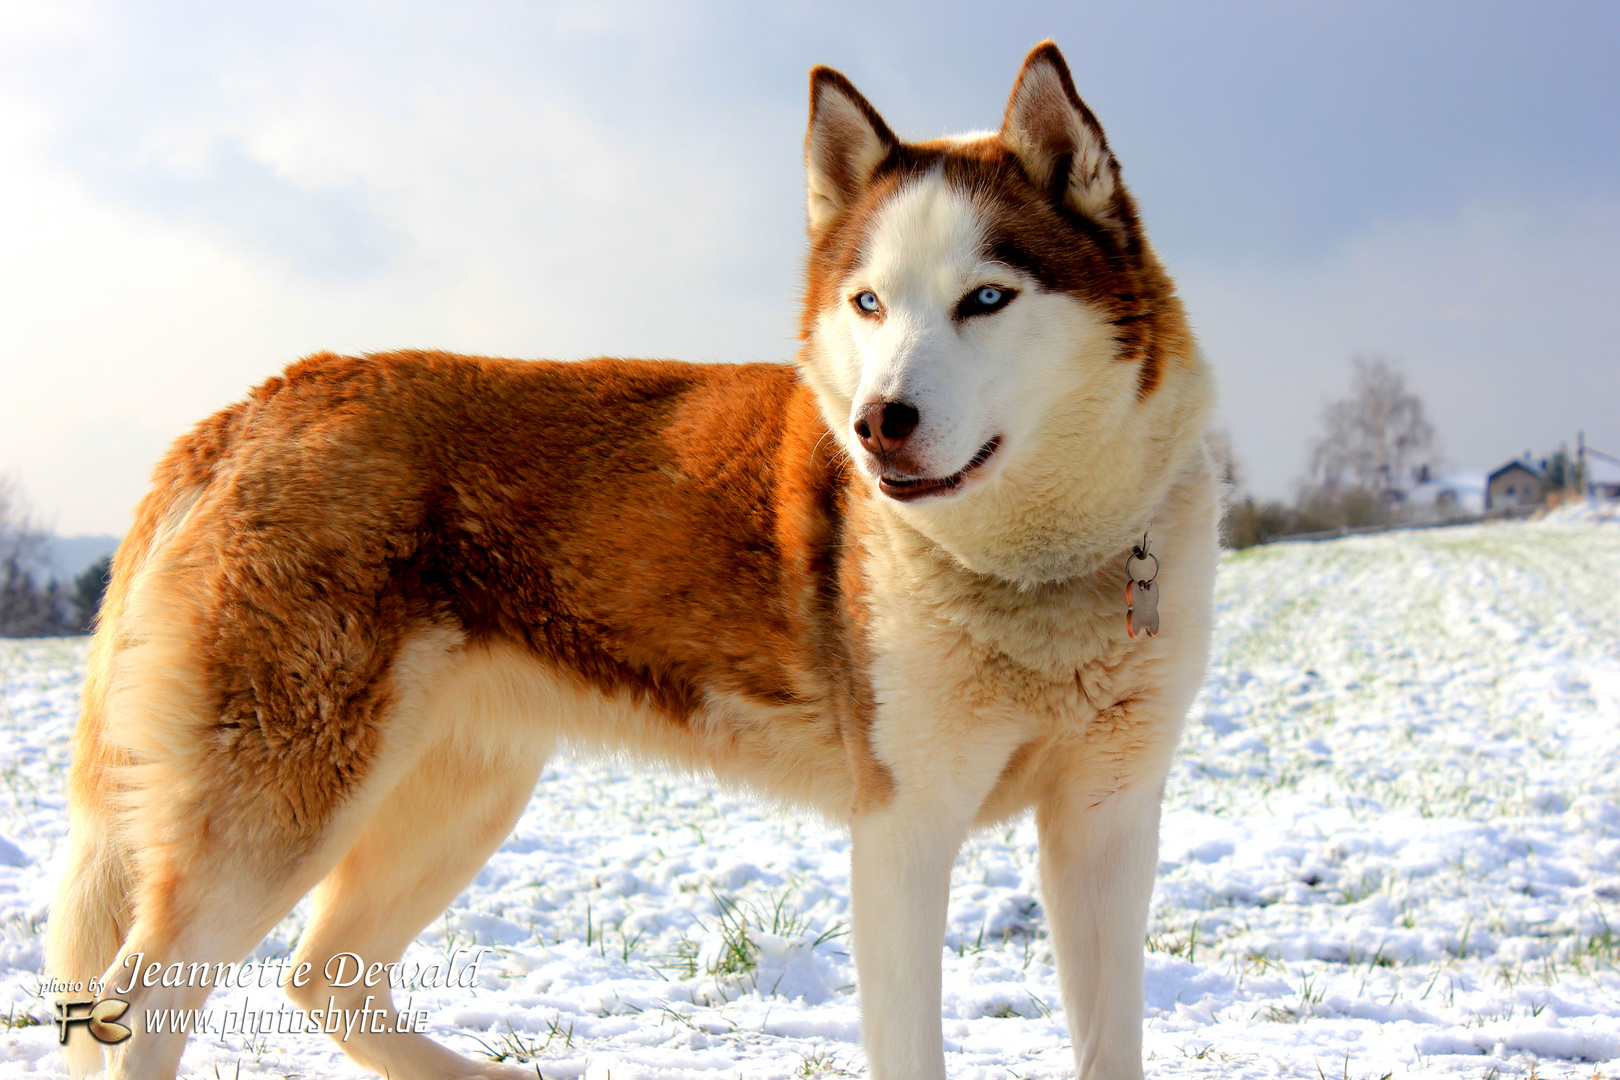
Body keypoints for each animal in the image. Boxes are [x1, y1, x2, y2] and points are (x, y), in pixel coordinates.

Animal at [50, 38, 1211, 1080]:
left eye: (987, 298)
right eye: (869, 303)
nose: (879, 424)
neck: (1030, 568)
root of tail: (256, 401)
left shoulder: (1106, 827)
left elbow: (1112, 1048)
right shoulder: (904, 828)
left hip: (460, 794)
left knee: (323, 974)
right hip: (284, 808)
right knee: (133, 1005)